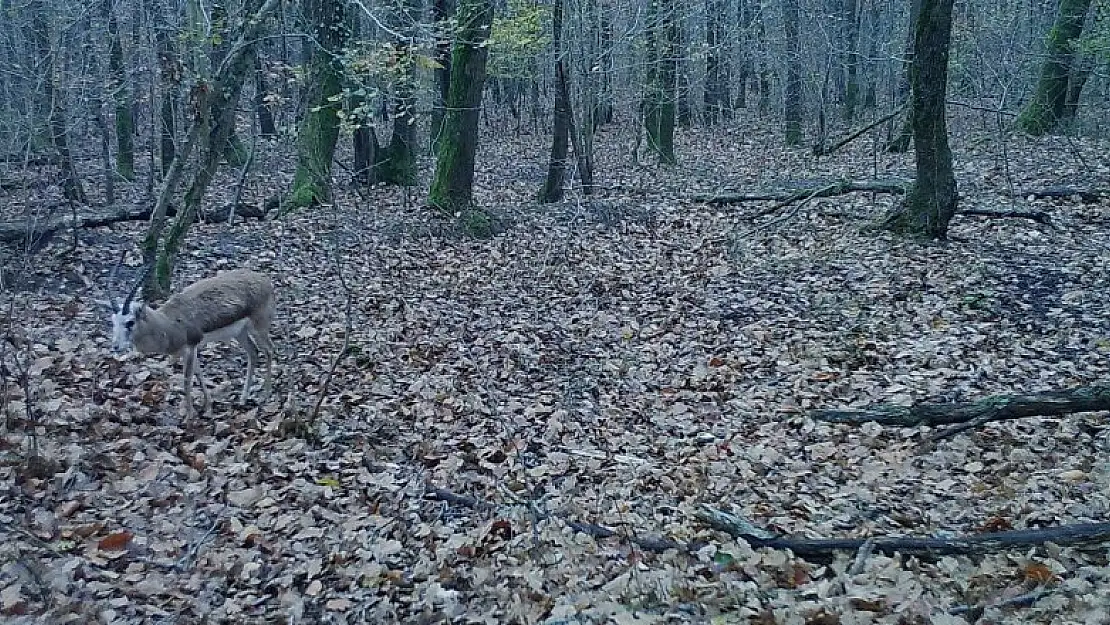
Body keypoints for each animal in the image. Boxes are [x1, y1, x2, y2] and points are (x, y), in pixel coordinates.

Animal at [107, 260, 276, 419]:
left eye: (130, 322)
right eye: (113, 320)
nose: (115, 346)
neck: (168, 323)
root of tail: (264, 279)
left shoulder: (190, 347)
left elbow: (187, 379)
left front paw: (189, 416)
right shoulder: (189, 350)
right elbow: (198, 373)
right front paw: (207, 406)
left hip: (259, 327)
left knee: (269, 350)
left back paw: (265, 396)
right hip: (240, 333)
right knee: (253, 352)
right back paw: (243, 398)